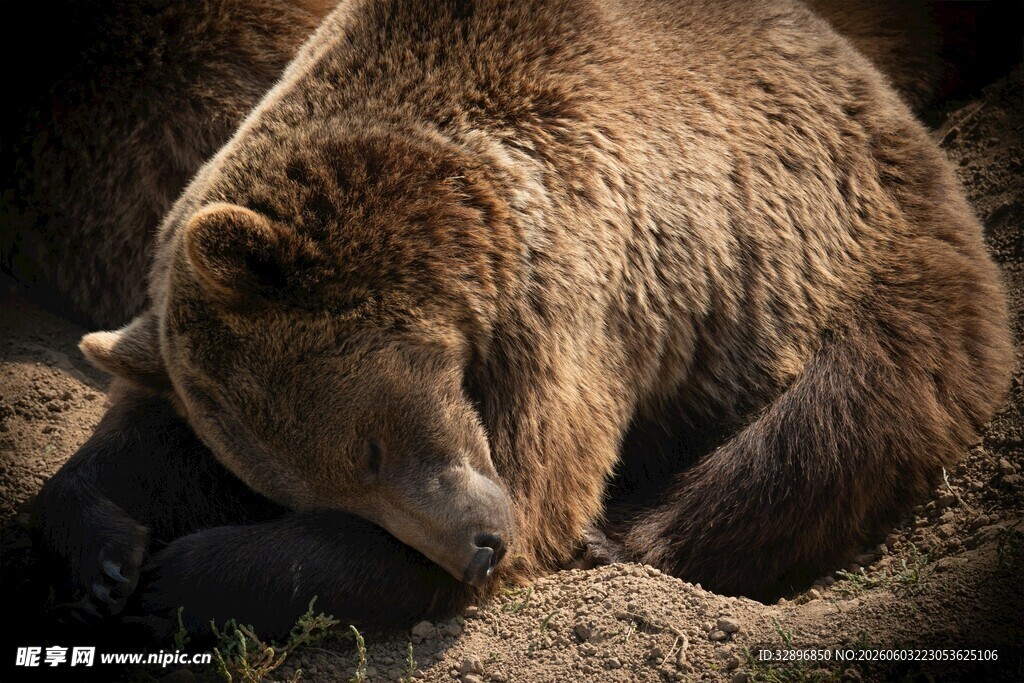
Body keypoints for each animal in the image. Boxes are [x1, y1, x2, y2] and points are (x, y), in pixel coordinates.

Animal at [30, 0, 1013, 641]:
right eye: (313, 485)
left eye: (371, 448)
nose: (477, 546)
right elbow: (143, 432)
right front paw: (103, 553)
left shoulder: (575, 289)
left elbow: (537, 485)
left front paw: (180, 574)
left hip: (843, 252)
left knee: (837, 418)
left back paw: (628, 534)